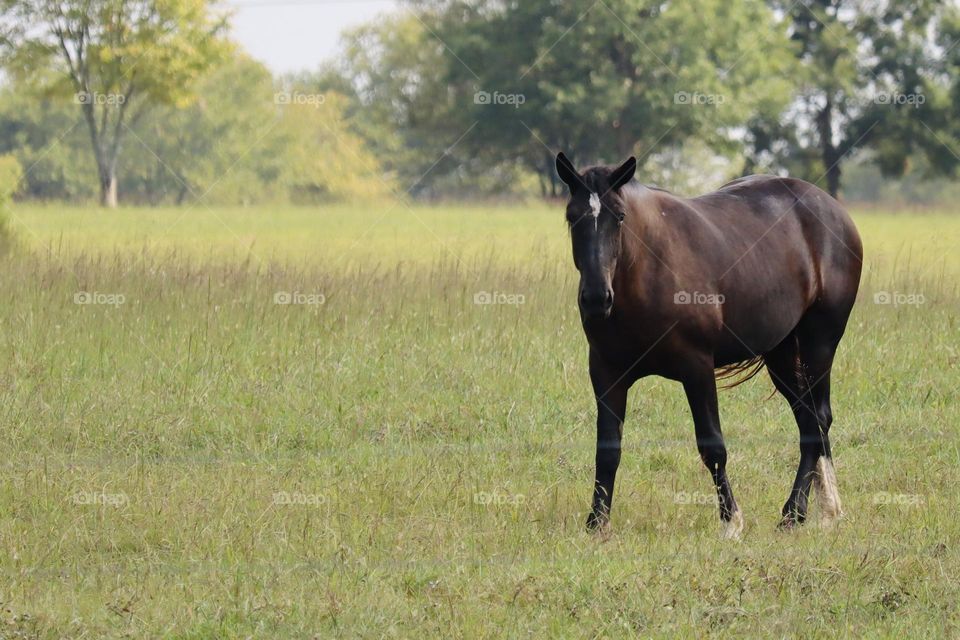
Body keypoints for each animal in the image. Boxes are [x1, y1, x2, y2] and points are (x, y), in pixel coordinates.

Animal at [556, 152, 864, 536]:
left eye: (620, 216)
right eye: (572, 216)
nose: (597, 298)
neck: (646, 272)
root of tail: (834, 211)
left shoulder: (697, 367)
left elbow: (712, 445)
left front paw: (731, 521)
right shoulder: (605, 372)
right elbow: (608, 449)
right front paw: (597, 523)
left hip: (818, 344)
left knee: (818, 419)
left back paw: (797, 512)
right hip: (780, 354)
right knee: (808, 420)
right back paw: (816, 510)